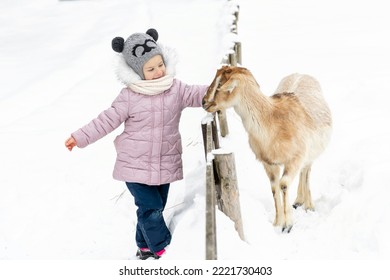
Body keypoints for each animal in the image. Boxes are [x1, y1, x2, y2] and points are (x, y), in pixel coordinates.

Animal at [201, 66, 332, 232]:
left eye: (220, 84)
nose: (204, 102)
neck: (273, 121)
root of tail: (300, 74)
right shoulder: (268, 163)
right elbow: (274, 187)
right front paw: (277, 222)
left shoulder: (295, 158)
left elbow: (284, 184)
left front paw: (287, 225)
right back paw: (298, 201)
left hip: (311, 152)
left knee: (306, 171)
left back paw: (308, 205)